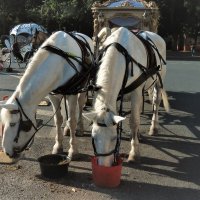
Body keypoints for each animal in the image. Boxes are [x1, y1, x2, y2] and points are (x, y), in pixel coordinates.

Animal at [0, 30, 94, 160]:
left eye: (13, 124)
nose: (7, 152)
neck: (60, 63)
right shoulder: (53, 95)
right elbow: (58, 119)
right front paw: (58, 146)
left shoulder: (72, 93)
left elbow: (72, 120)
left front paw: (73, 150)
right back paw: (66, 129)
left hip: (82, 88)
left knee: (80, 107)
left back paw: (79, 128)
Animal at [83, 27, 170, 166]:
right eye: (93, 136)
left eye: (114, 138)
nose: (104, 166)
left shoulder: (136, 93)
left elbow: (134, 121)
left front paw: (134, 153)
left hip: (157, 82)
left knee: (156, 102)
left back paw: (153, 127)